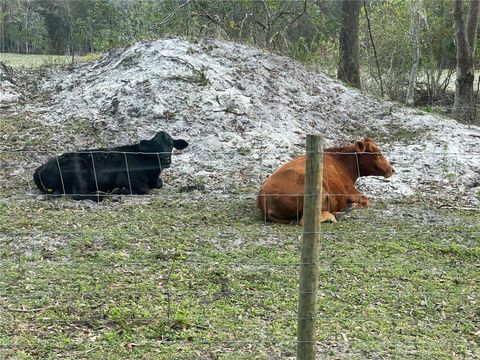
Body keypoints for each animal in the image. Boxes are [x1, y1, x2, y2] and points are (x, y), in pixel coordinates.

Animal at [32, 131, 188, 201]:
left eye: (171, 145)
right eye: (155, 145)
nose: (165, 158)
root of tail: (39, 169)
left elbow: (159, 184)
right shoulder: (123, 178)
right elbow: (144, 188)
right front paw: (121, 190)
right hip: (79, 167)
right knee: (78, 194)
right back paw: (102, 194)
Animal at [256, 137, 396, 224]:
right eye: (376, 154)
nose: (392, 169)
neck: (343, 161)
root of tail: (263, 195)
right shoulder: (351, 192)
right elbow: (366, 200)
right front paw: (352, 206)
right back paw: (335, 215)